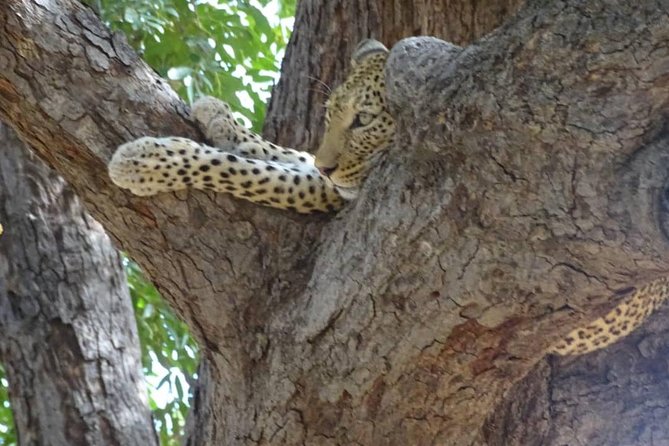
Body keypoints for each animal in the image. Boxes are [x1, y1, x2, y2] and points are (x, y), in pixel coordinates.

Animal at [109, 37, 668, 358]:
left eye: (364, 121)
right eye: (330, 112)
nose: (331, 164)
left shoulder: (336, 193)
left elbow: (251, 171)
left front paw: (146, 161)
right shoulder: (329, 176)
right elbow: (286, 153)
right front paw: (220, 115)